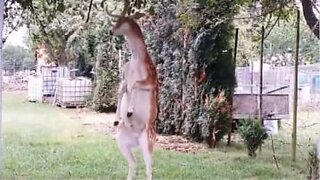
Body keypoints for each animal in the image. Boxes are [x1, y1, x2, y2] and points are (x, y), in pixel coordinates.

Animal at [105, 0, 159, 179]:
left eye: (124, 20)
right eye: (116, 19)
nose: (111, 31)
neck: (136, 60)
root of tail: (136, 139)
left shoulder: (152, 80)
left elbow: (135, 85)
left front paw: (129, 111)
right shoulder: (124, 76)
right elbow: (121, 91)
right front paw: (117, 118)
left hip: (148, 141)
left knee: (149, 167)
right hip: (121, 140)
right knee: (133, 163)